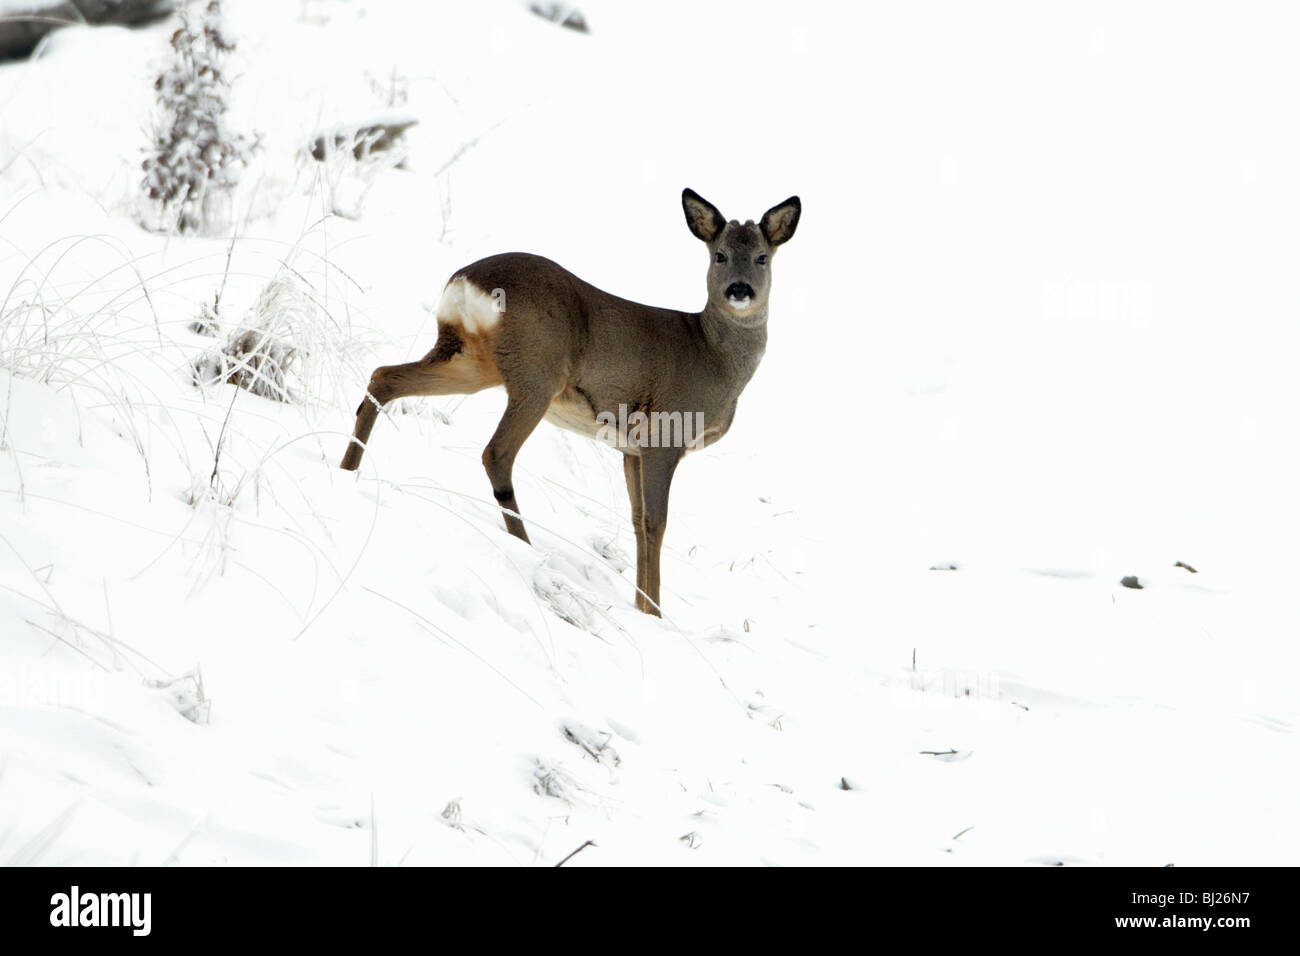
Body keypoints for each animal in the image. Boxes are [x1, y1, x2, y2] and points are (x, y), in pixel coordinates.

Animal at [340, 191, 795, 616]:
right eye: (719, 255)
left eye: (761, 257)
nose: (740, 290)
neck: (712, 354)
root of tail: (466, 281)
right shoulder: (665, 433)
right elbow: (656, 523)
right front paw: (655, 613)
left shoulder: (631, 448)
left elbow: (635, 521)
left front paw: (642, 606)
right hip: (537, 372)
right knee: (495, 453)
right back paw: (525, 546)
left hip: (471, 361)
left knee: (384, 376)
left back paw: (347, 470)